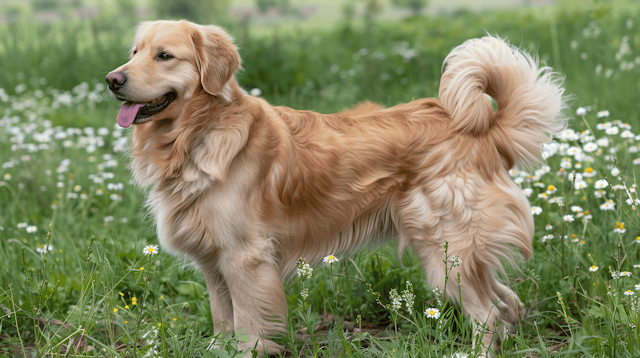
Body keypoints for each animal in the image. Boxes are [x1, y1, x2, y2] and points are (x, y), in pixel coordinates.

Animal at [106, 21, 564, 356]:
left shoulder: (245, 258)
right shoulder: (214, 262)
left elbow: (249, 327)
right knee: (508, 303)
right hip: (459, 256)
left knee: (488, 314)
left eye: (165, 56)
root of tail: (485, 129)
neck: (198, 134)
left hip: (445, 253)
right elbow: (223, 321)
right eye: (134, 52)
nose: (112, 79)